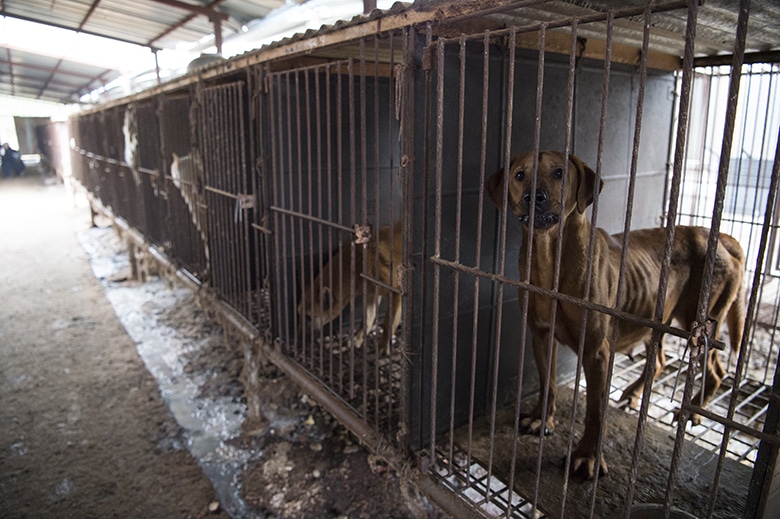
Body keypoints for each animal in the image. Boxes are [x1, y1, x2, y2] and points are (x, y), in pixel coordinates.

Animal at [298, 221, 406, 356]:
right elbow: (366, 320)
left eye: (309, 317)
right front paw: (356, 340)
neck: (359, 263)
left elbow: (387, 325)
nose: (298, 339)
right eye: (299, 313)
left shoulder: (396, 292)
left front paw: (383, 347)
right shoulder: (371, 294)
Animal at [484, 149, 748, 480]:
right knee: (659, 362)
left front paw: (587, 457)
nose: (535, 197)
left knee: (716, 371)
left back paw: (693, 409)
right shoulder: (541, 335)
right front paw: (541, 419)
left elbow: (595, 411)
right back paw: (635, 393)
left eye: (559, 172)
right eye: (519, 175)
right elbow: (547, 383)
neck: (550, 259)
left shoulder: (597, 352)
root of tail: (720, 236)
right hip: (656, 319)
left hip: (700, 325)